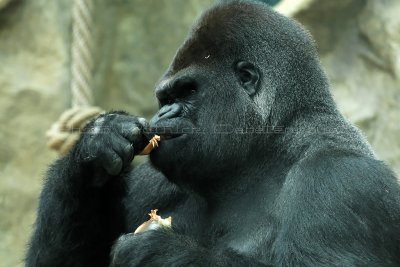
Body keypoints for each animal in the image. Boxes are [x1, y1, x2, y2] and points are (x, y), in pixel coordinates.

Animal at [26, 0, 400, 267]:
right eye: (166, 98)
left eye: (188, 92)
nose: (163, 114)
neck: (268, 145)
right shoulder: (155, 180)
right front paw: (97, 143)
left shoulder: (342, 180)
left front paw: (158, 252)